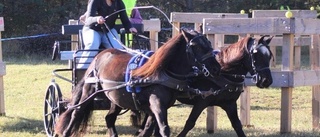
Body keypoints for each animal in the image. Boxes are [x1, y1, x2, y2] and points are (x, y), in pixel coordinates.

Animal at [54, 28, 220, 136]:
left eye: (209, 44)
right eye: (197, 46)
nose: (216, 67)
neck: (162, 71)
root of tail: (100, 55)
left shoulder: (157, 107)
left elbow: (149, 128)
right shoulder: (156, 103)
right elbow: (163, 128)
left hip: (116, 99)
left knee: (109, 118)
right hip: (89, 91)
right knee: (76, 112)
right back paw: (66, 131)